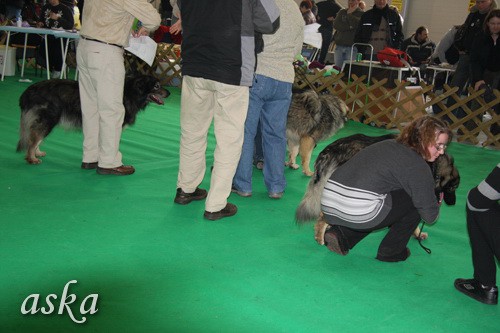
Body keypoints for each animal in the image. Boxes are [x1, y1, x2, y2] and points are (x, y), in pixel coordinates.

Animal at [16, 74, 170, 164]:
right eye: (157, 86)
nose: (169, 93)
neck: (131, 92)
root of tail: (28, 91)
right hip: (49, 119)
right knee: (34, 139)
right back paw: (32, 158)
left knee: (36, 138)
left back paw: (37, 153)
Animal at [292, 132, 460, 244]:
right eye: (453, 187)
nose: (454, 203)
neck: (433, 165)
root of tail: (329, 152)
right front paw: (417, 233)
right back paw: (321, 236)